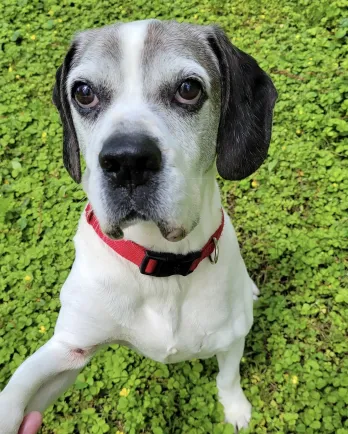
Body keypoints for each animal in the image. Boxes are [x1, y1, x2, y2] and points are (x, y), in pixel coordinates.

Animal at [0, 18, 278, 432]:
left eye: (188, 89)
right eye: (83, 93)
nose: (127, 160)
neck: (161, 264)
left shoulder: (231, 339)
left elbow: (227, 378)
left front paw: (236, 409)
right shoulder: (70, 348)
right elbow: (20, 387)